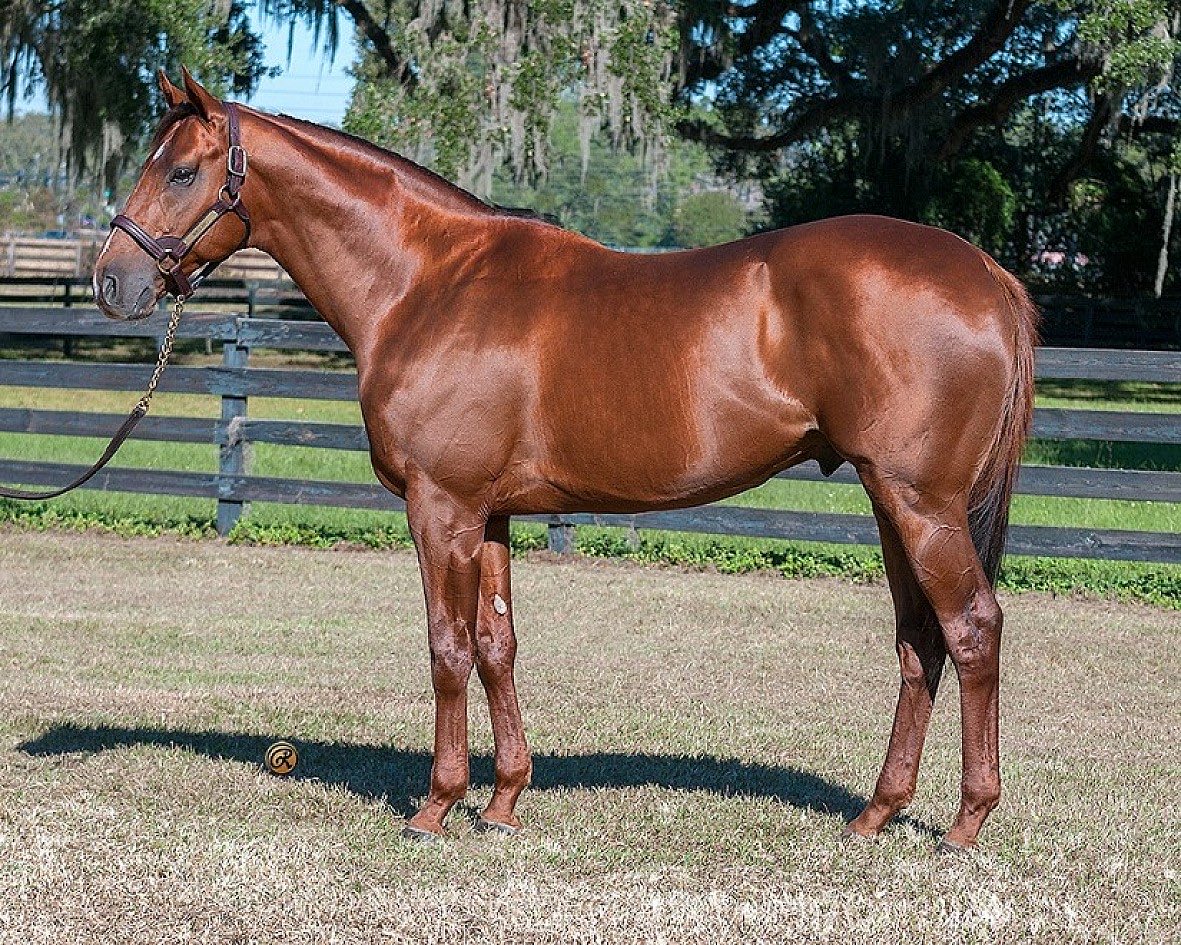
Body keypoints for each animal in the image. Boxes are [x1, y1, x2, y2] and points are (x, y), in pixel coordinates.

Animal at [93, 69, 1037, 851]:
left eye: (181, 172)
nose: (111, 282)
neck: (427, 282)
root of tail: (984, 273)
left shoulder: (441, 507)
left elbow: (446, 647)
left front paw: (436, 807)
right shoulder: (490, 513)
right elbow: (496, 644)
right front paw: (503, 801)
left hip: (920, 502)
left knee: (970, 629)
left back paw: (964, 822)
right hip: (891, 502)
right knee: (918, 643)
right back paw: (876, 813)